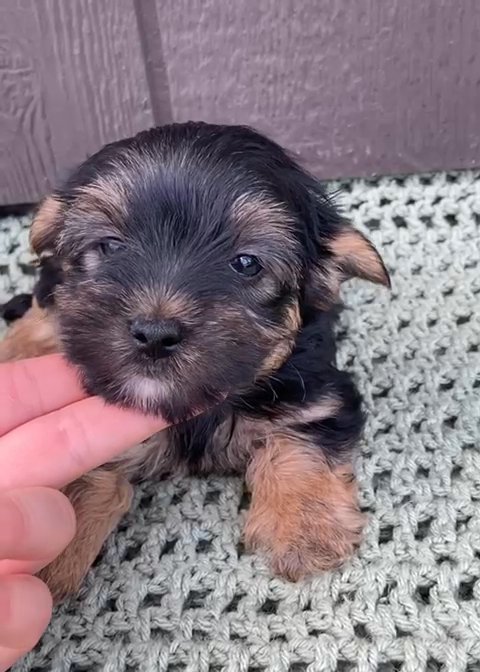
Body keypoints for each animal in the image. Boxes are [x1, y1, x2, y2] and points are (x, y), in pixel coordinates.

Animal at [0, 123, 388, 600]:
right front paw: (49, 562)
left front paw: (305, 529)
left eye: (246, 263)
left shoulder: (316, 389)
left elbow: (301, 436)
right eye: (109, 246)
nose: (155, 333)